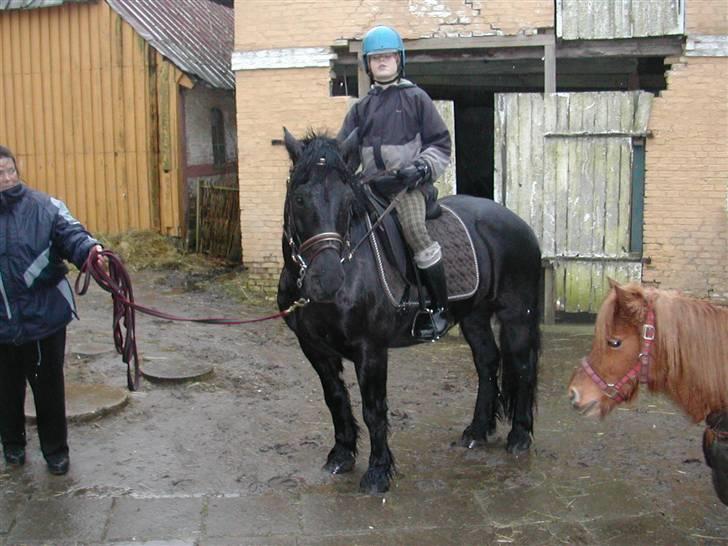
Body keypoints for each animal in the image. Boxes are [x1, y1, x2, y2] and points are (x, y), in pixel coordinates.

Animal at [278, 129, 540, 492]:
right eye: (300, 198)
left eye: (348, 202)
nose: (327, 280)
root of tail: (519, 223)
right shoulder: (314, 348)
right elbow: (335, 398)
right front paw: (341, 456)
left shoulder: (371, 349)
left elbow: (374, 409)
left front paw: (377, 473)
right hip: (474, 316)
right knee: (487, 363)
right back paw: (476, 431)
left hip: (517, 316)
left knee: (523, 366)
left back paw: (519, 436)